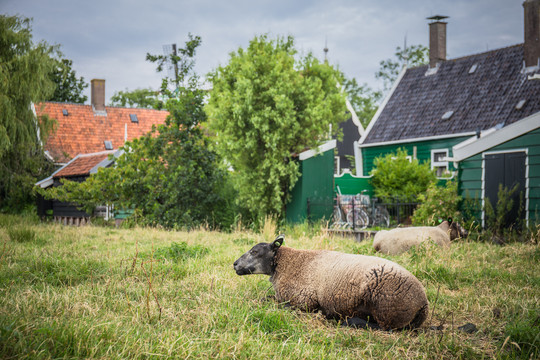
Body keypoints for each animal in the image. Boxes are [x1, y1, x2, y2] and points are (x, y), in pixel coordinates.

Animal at [234, 235, 428, 330]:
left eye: (255, 251)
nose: (235, 264)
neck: (287, 263)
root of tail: (423, 303)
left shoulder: (305, 301)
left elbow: (275, 304)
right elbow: (266, 298)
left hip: (385, 307)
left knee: (384, 327)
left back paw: (348, 322)